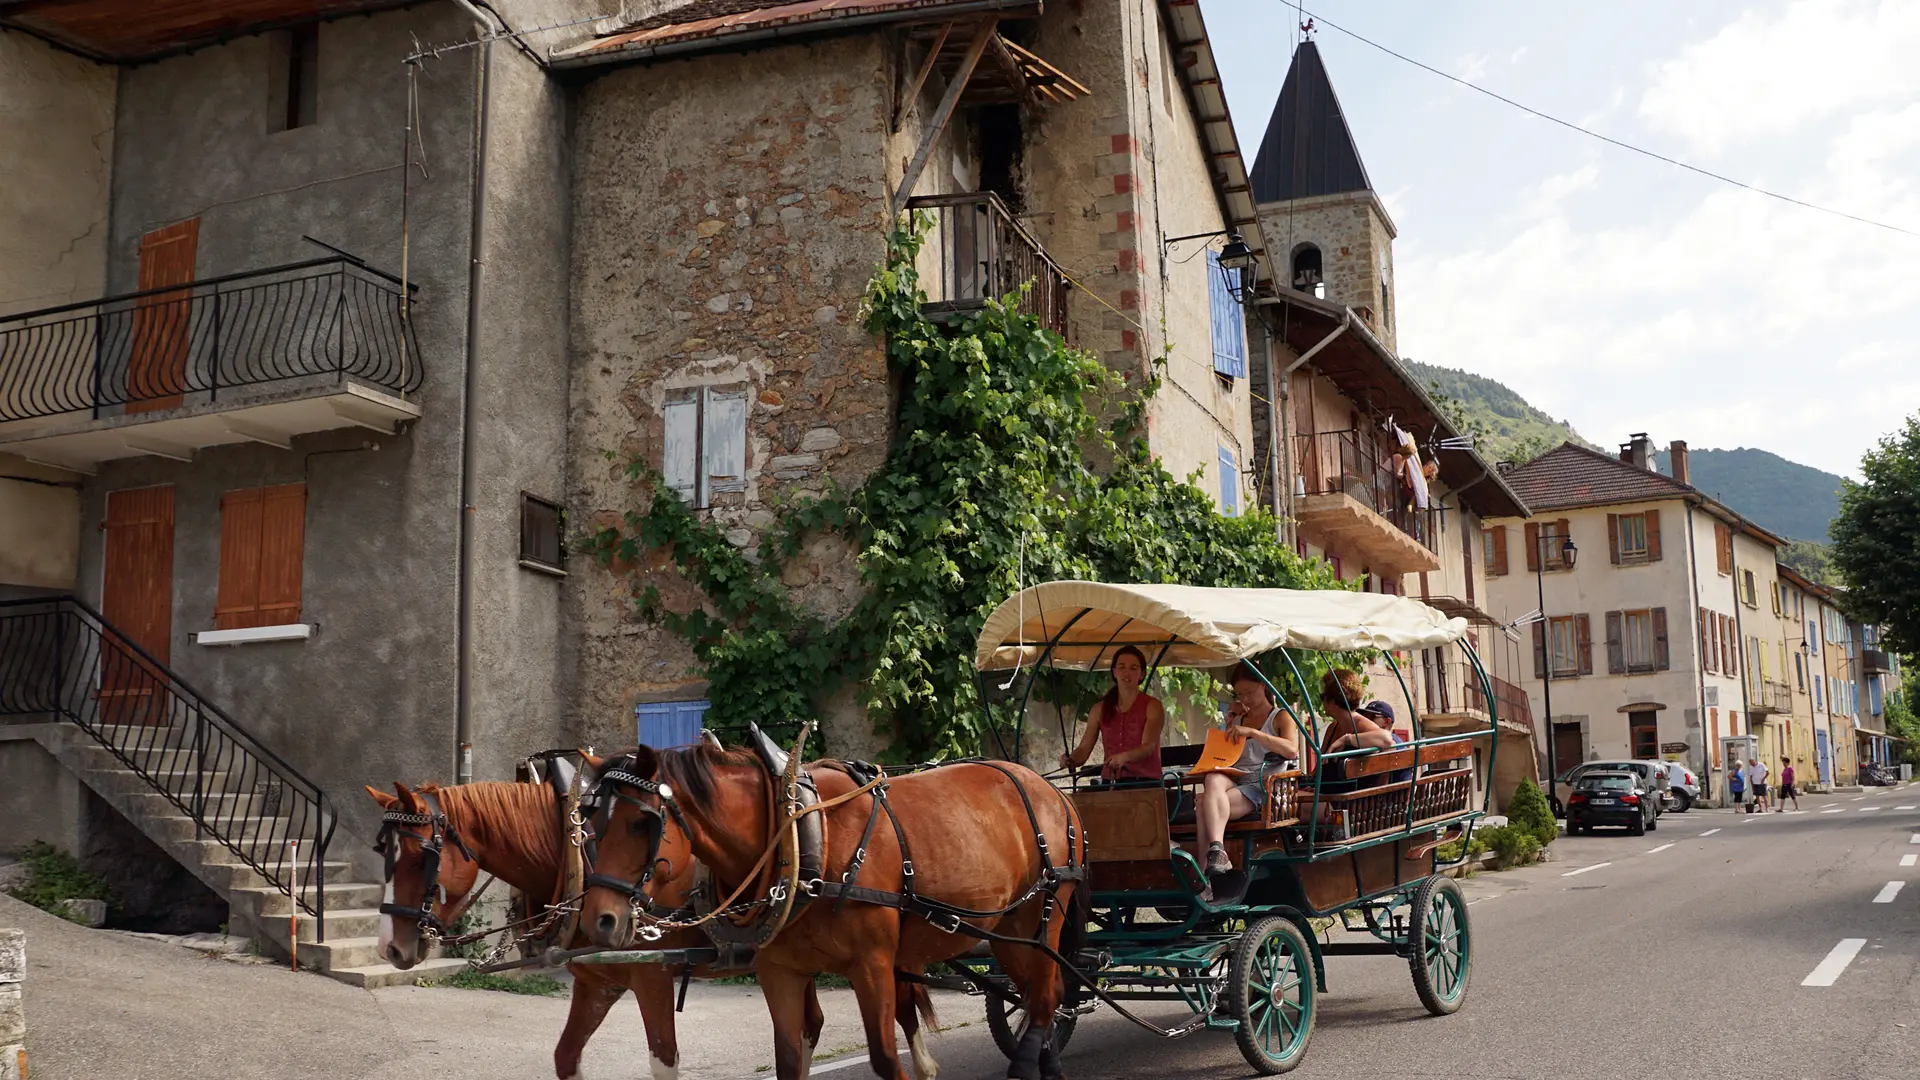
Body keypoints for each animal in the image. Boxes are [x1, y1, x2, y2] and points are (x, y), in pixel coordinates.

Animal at [360, 776, 929, 1076]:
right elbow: (566, 1056)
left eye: (420, 858)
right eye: (382, 853)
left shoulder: (652, 979)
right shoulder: (597, 983)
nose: (390, 948)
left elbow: (664, 1059)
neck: (580, 859)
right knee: (810, 1025)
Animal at [576, 737, 1090, 1076]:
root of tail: (1052, 790)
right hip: (1007, 932)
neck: (798, 839)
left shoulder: (872, 964)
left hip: (1040, 916)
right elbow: (788, 1059)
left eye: (642, 823)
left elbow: (885, 1058)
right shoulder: (781, 972)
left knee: (1046, 997)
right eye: (591, 822)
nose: (600, 919)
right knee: (1042, 997)